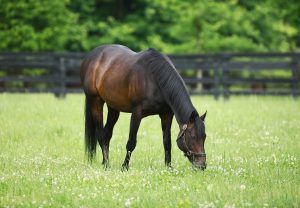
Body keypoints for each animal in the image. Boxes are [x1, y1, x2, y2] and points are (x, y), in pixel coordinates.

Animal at [78, 44, 207, 170]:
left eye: (204, 137)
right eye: (193, 137)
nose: (202, 165)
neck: (154, 78)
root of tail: (91, 57)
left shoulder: (166, 115)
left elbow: (167, 142)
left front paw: (168, 167)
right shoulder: (137, 114)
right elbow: (131, 142)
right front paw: (124, 167)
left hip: (113, 108)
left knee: (106, 135)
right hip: (95, 101)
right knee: (100, 135)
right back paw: (106, 164)